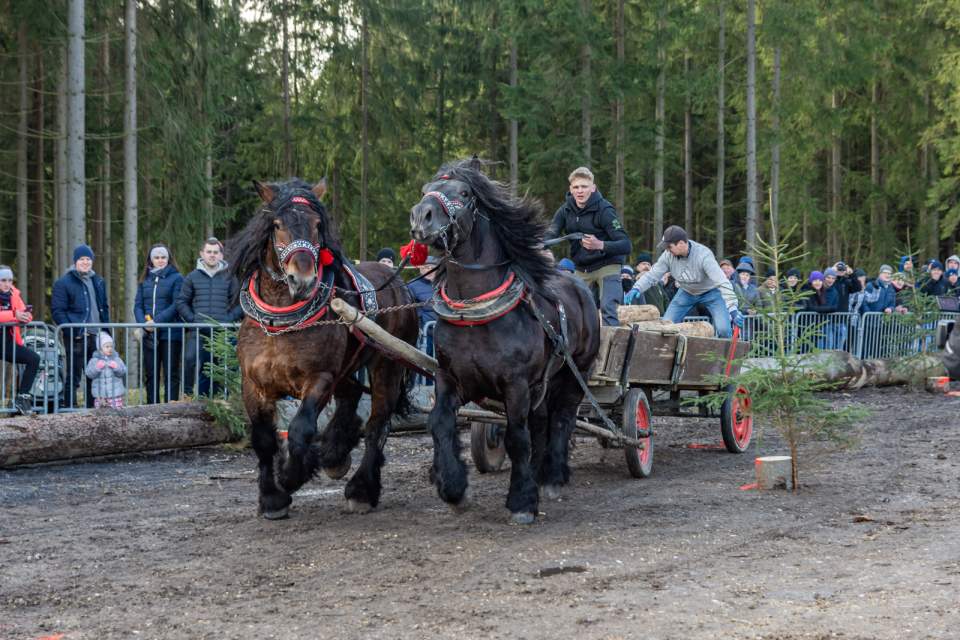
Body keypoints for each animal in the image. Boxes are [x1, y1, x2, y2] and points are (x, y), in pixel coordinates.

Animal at [233, 178, 420, 516]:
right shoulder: (254, 384)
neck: (281, 324)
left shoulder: (319, 378)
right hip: (346, 367)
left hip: (387, 364)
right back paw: (335, 453)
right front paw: (272, 498)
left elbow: (300, 429)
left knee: (378, 423)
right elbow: (263, 438)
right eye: (277, 225)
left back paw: (361, 489)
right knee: (352, 395)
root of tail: (400, 283)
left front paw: (290, 476)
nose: (302, 278)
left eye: (317, 225)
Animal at [406, 158, 600, 524]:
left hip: (574, 373)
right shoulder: (450, 379)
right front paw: (454, 489)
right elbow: (440, 423)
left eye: (464, 193)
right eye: (424, 190)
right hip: (544, 382)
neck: (475, 311)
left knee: (563, 419)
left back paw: (552, 478)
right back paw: (538, 473)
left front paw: (522, 502)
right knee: (542, 422)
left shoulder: (516, 384)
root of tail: (580, 287)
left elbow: (516, 437)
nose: (421, 216)